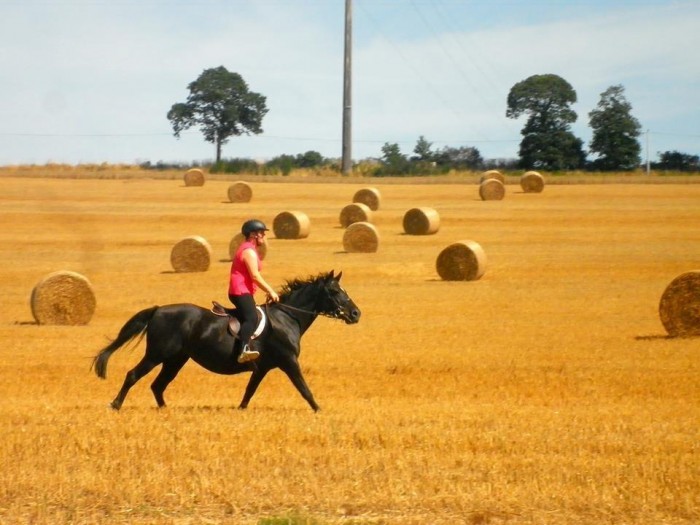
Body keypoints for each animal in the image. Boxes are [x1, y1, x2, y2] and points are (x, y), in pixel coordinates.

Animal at [92, 272, 360, 412]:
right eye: (335, 292)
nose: (356, 314)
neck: (288, 316)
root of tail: (158, 310)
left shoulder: (262, 367)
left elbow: (249, 391)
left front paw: (240, 410)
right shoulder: (289, 362)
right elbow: (304, 388)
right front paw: (319, 410)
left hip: (175, 360)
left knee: (158, 385)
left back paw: (165, 410)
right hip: (157, 355)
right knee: (133, 375)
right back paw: (115, 404)